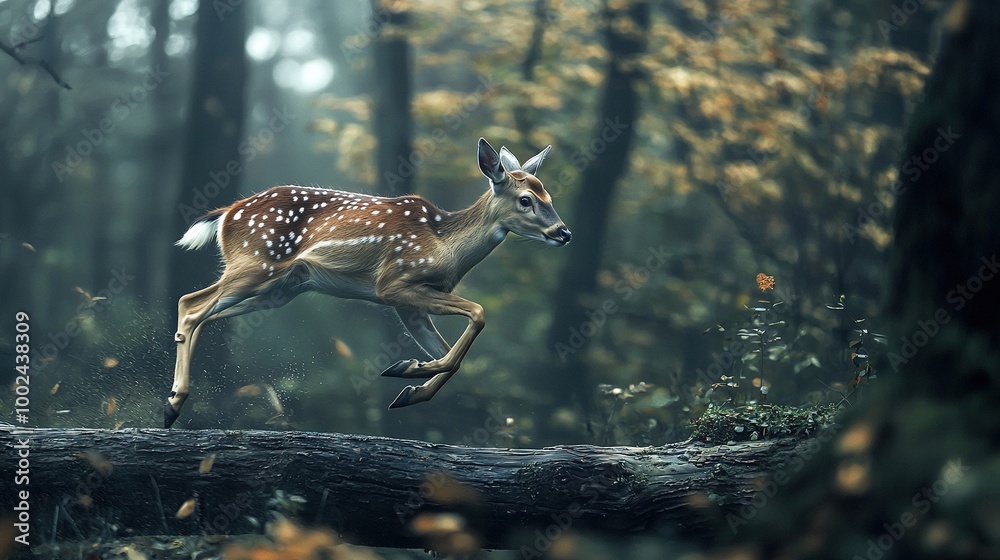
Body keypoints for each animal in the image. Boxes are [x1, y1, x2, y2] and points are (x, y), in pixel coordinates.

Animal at [164, 138, 572, 426]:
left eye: (549, 194)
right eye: (525, 199)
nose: (563, 232)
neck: (446, 245)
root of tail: (227, 213)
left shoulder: (409, 305)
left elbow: (449, 357)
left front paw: (410, 384)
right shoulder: (393, 282)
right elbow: (478, 313)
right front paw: (408, 369)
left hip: (279, 290)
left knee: (203, 315)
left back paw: (173, 403)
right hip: (256, 264)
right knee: (190, 304)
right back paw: (174, 404)